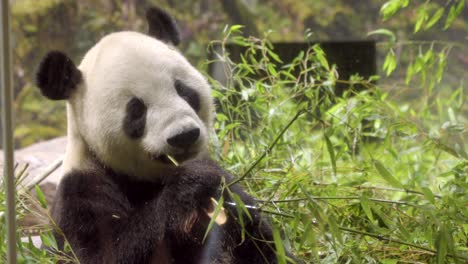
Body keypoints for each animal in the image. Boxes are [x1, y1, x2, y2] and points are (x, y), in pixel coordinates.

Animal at [35, 6, 296, 264]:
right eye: (136, 110)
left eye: (184, 91)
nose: (184, 135)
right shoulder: (80, 192)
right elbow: (103, 253)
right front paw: (192, 180)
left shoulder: (231, 198)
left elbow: (259, 239)